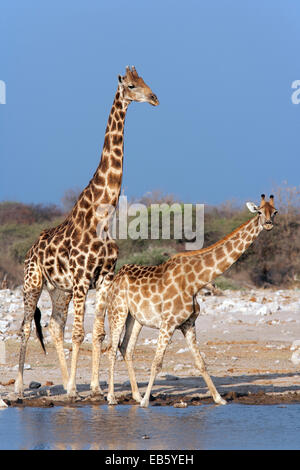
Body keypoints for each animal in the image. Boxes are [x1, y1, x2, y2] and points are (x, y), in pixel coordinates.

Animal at [14, 66, 159, 396]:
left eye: (145, 81)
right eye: (132, 85)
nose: (155, 98)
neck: (102, 217)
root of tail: (29, 251)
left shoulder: (103, 278)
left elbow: (99, 333)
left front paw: (92, 387)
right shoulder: (82, 280)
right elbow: (79, 333)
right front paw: (74, 388)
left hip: (59, 290)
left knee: (54, 326)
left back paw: (69, 383)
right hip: (32, 283)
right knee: (26, 327)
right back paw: (19, 386)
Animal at [106, 195, 278, 408]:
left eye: (275, 212)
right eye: (259, 212)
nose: (268, 224)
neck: (196, 281)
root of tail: (115, 279)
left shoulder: (188, 323)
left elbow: (200, 363)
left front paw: (219, 398)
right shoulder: (168, 323)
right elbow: (157, 363)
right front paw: (145, 402)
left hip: (136, 318)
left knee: (126, 348)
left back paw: (136, 395)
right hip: (117, 311)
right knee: (112, 349)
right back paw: (112, 397)